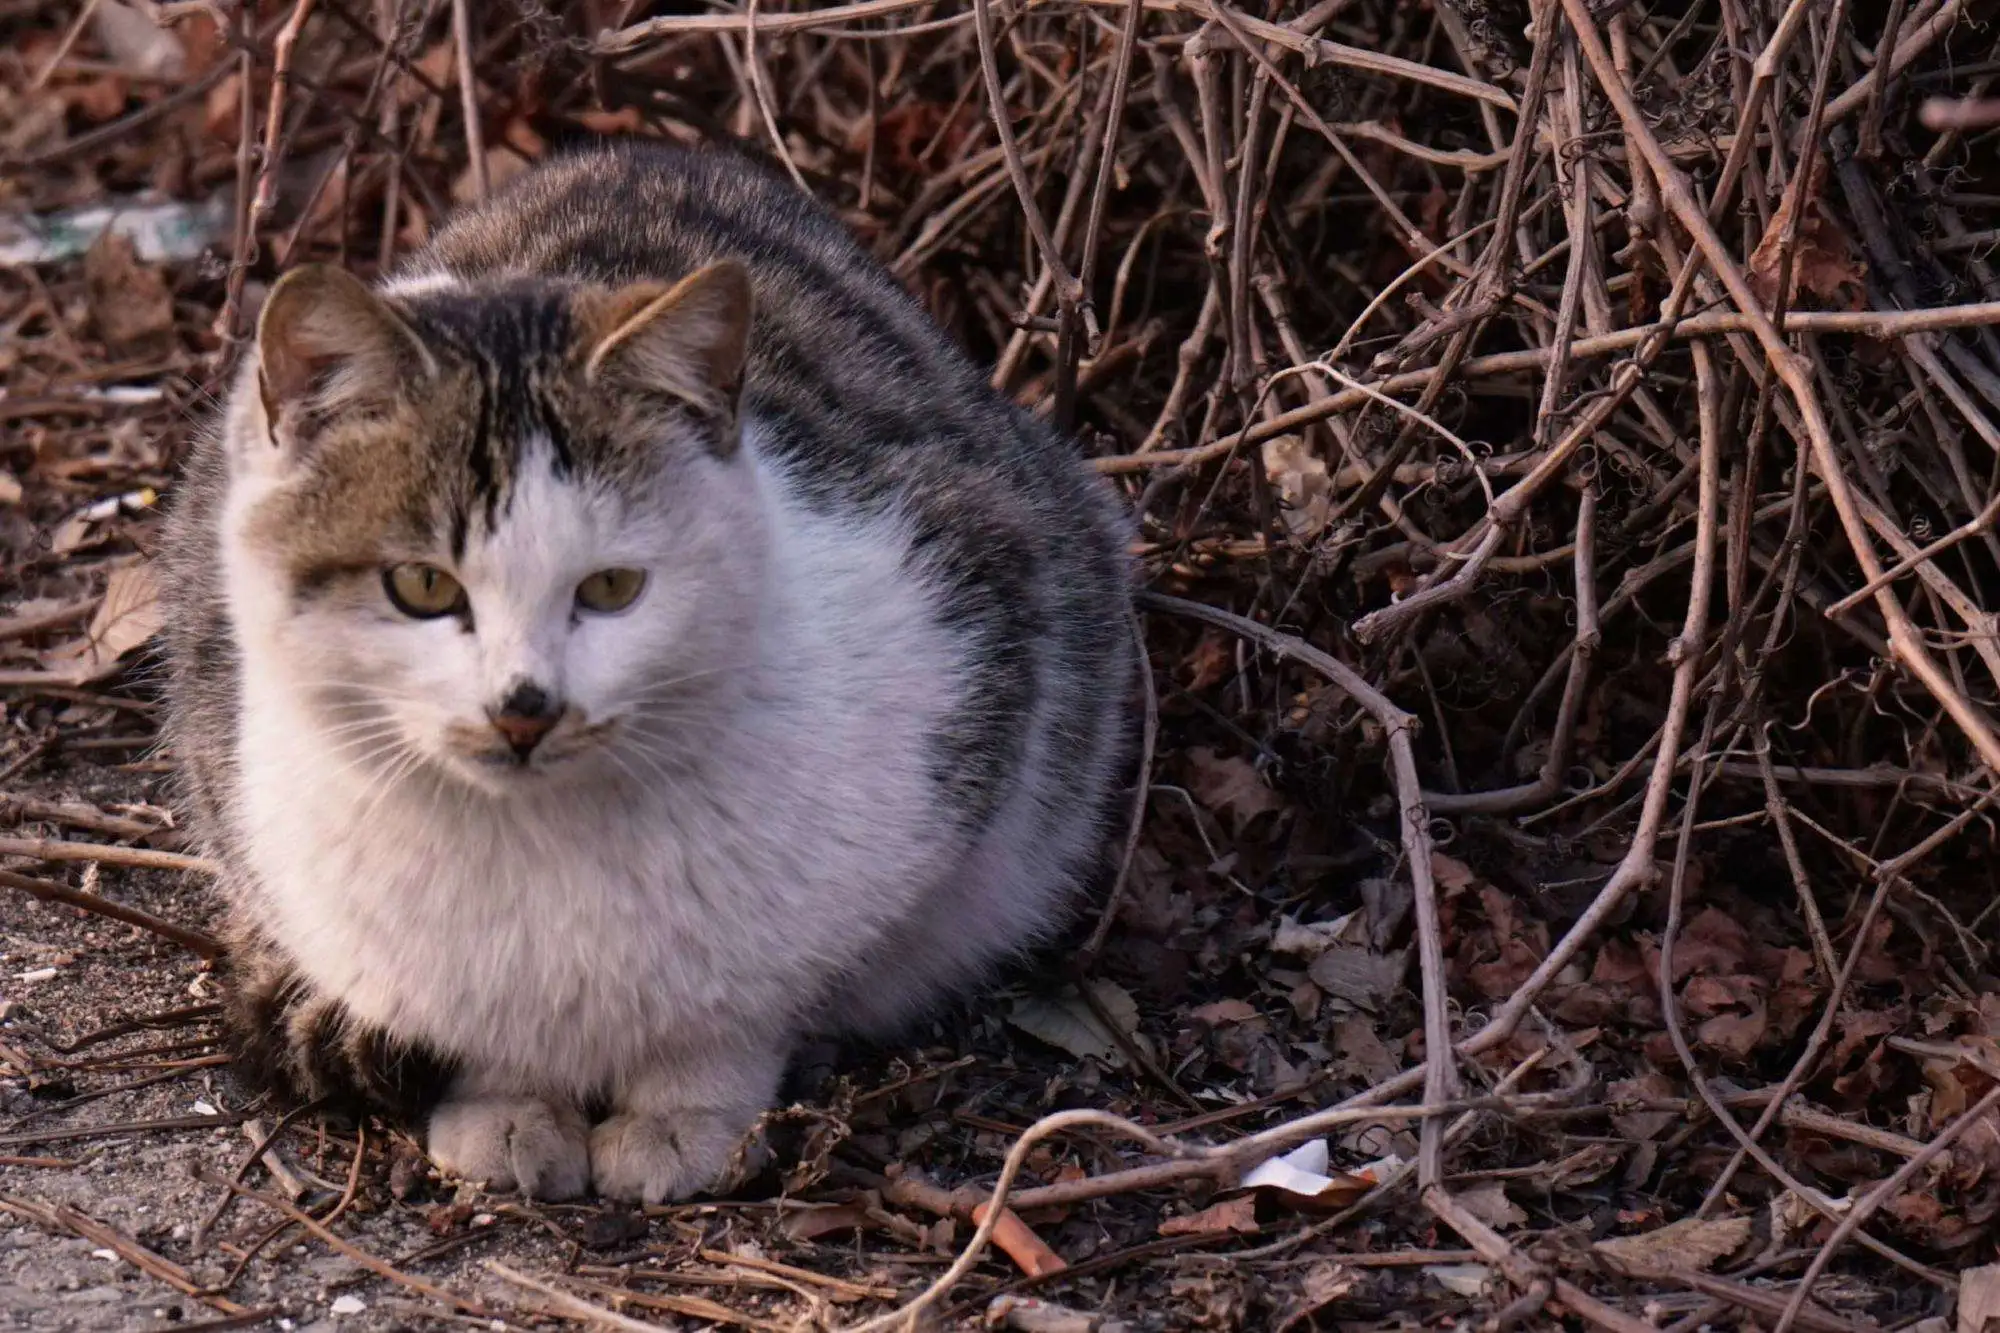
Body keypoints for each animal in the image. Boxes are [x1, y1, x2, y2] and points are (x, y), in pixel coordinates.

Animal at [162, 140, 1136, 1200]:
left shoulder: (978, 628)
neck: (541, 839)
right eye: (421, 584)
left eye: (613, 586)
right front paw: (510, 1105)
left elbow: (747, 1001)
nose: (525, 707)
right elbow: (485, 1019)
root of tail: (648, 150)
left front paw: (685, 1117)